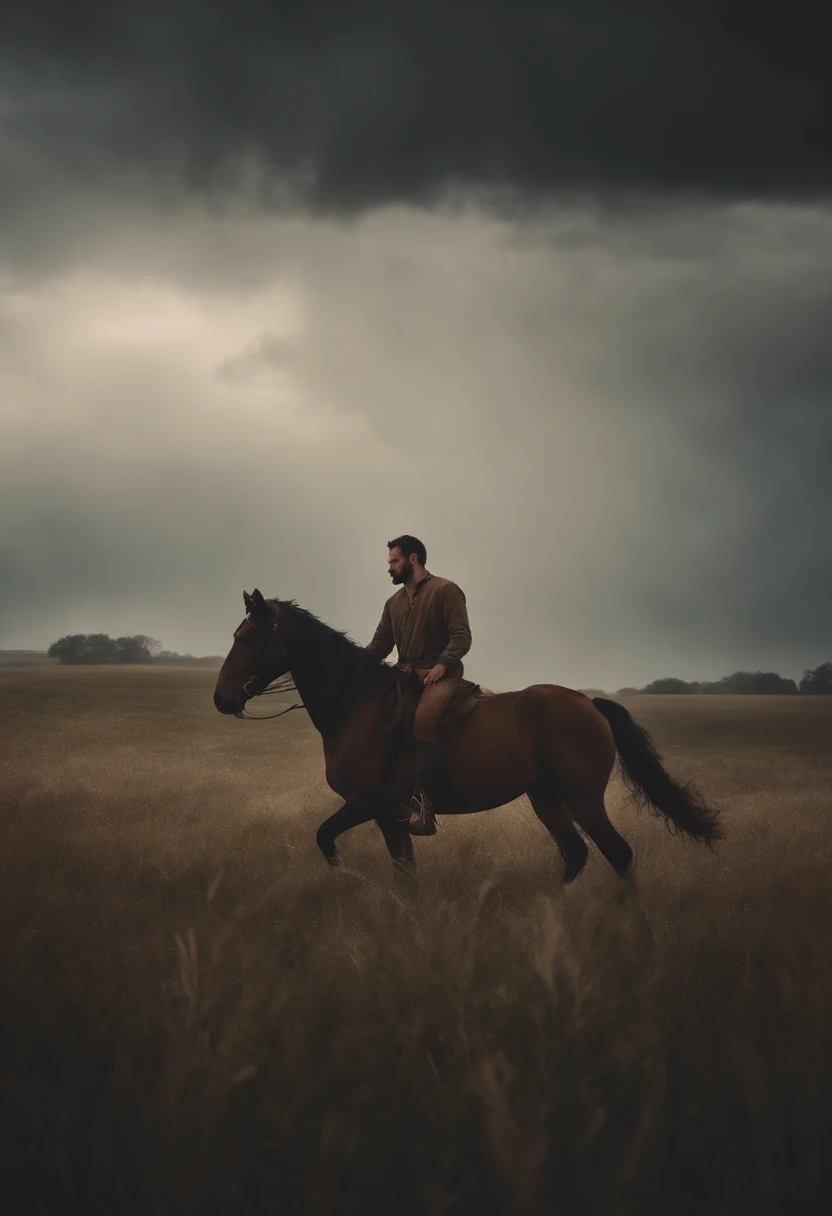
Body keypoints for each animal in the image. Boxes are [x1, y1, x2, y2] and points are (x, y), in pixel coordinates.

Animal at [212, 588, 720, 885]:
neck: (358, 705)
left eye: (248, 638)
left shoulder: (368, 804)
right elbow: (400, 869)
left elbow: (328, 840)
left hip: (583, 799)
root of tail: (590, 704)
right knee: (575, 854)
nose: (221, 698)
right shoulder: (386, 815)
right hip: (546, 799)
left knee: (618, 854)